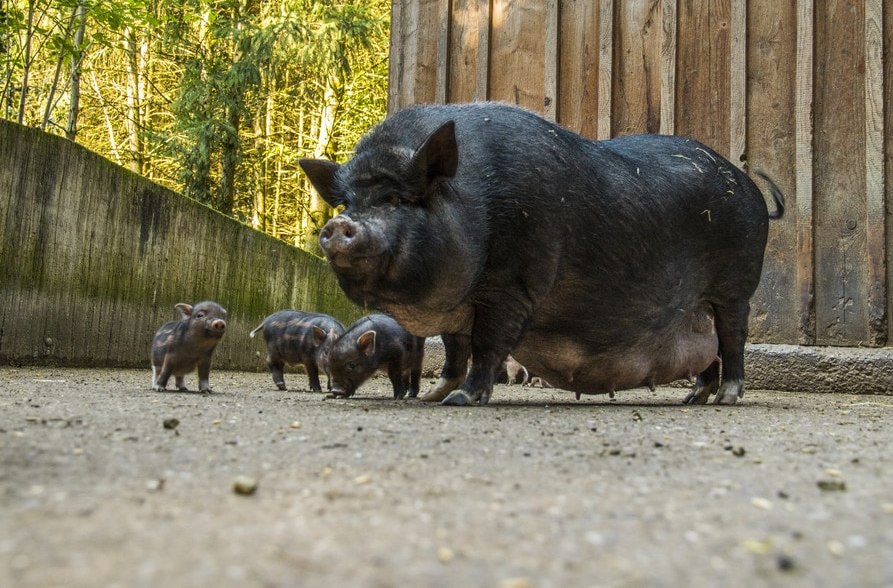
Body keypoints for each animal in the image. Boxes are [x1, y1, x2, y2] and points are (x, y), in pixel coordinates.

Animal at [300, 102, 780, 404]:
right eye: (347, 203)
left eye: (398, 199)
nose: (337, 226)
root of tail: (749, 187)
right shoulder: (459, 308)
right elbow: (455, 351)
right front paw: (434, 396)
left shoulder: (514, 284)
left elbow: (487, 345)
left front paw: (460, 400)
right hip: (701, 307)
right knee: (709, 350)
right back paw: (693, 398)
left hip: (737, 286)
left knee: (733, 339)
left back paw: (728, 398)